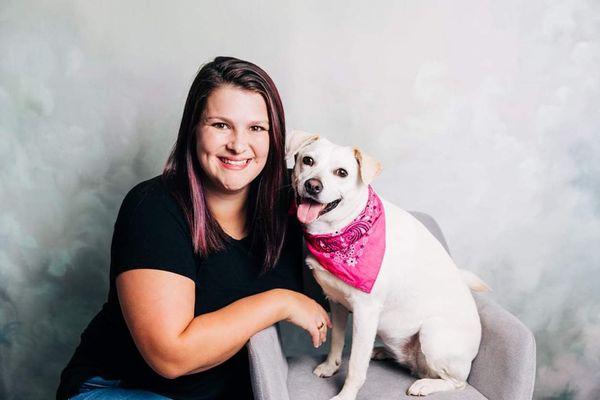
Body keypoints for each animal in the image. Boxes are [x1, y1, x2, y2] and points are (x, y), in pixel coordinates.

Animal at [284, 131, 488, 400]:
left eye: (342, 172)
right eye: (307, 160)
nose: (313, 185)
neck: (341, 231)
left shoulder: (365, 312)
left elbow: (356, 366)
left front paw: (346, 395)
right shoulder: (337, 302)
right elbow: (336, 341)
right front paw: (330, 366)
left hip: (432, 333)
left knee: (457, 382)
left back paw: (425, 385)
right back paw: (381, 352)